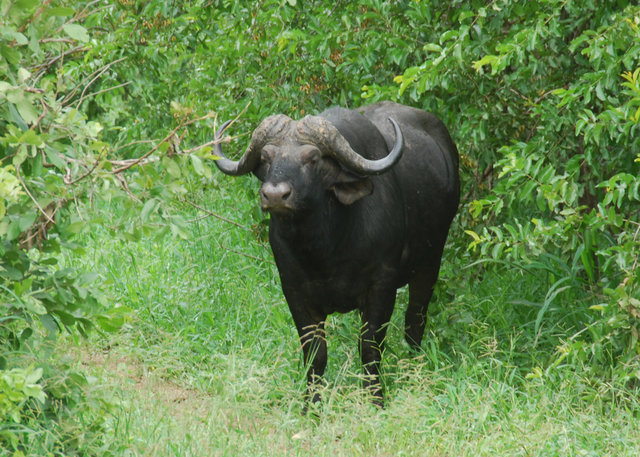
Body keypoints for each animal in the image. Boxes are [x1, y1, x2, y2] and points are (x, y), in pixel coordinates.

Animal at [212, 101, 458, 408]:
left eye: (313, 158)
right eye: (267, 157)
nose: (275, 195)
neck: (326, 250)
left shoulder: (382, 286)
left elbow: (370, 348)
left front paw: (376, 401)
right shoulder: (294, 290)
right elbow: (315, 353)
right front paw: (311, 406)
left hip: (429, 264)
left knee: (415, 322)